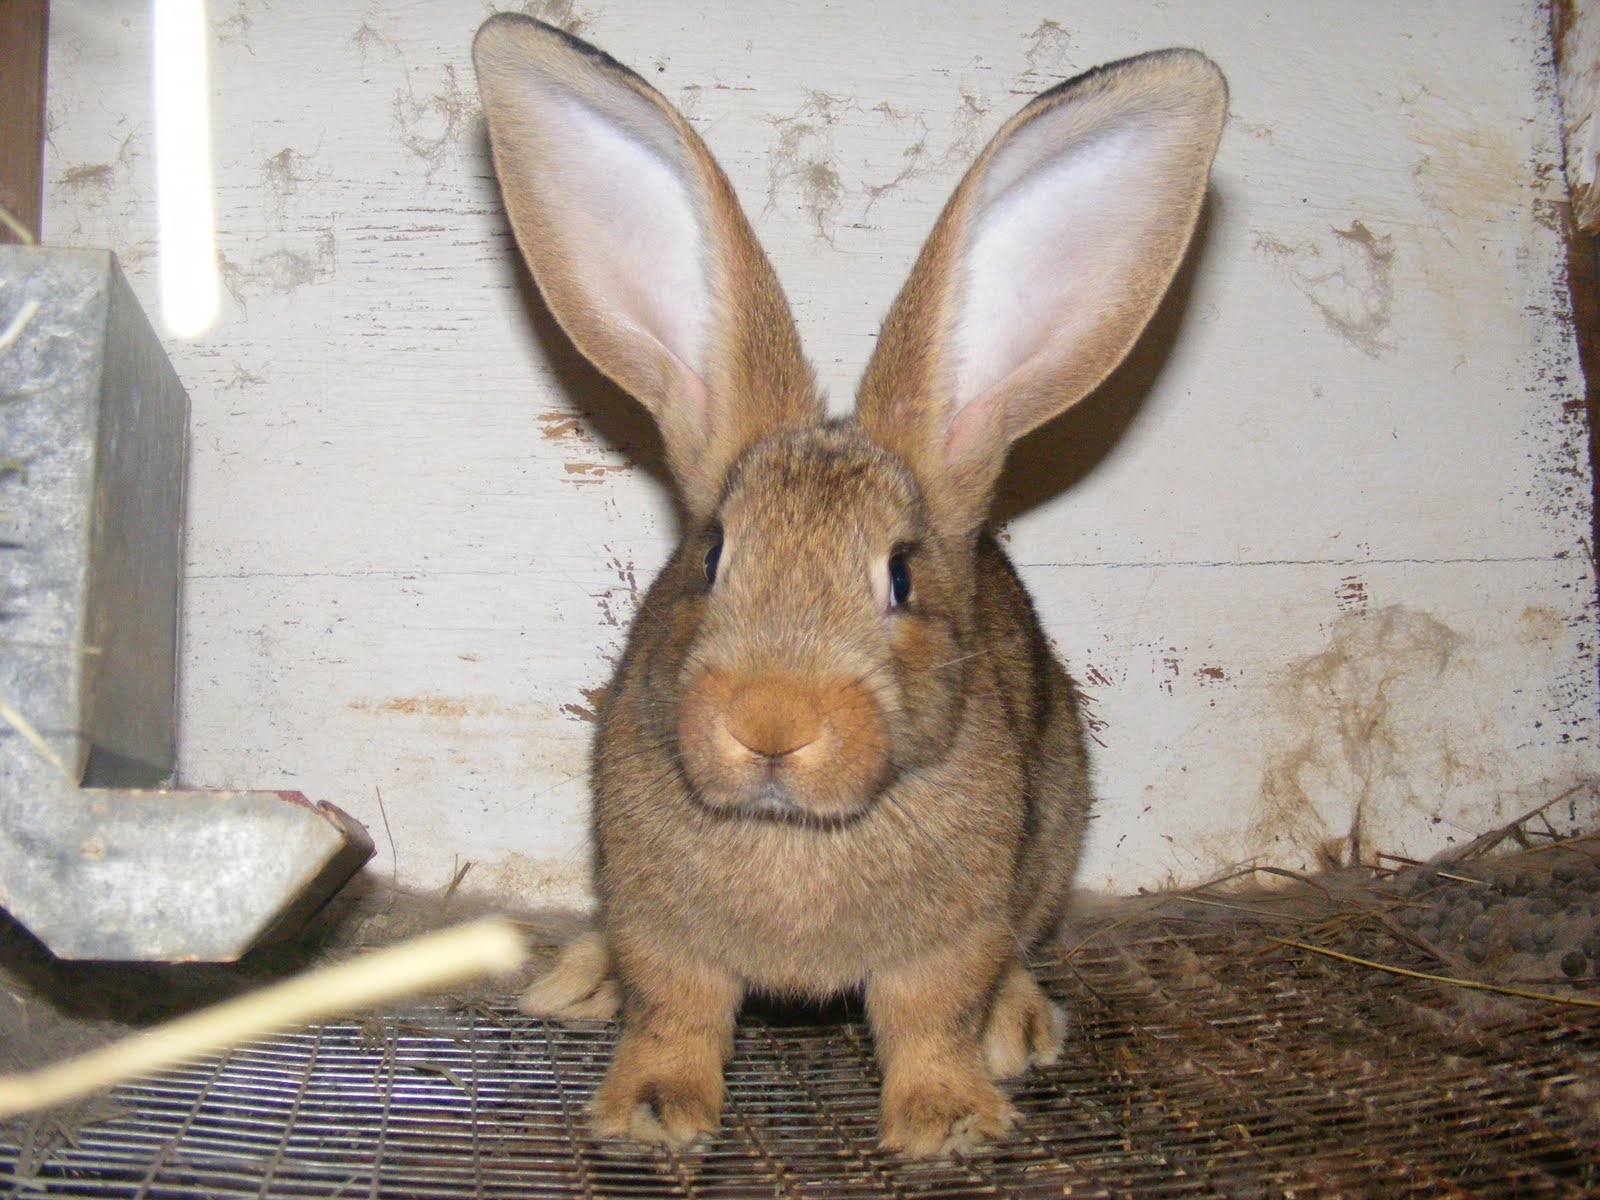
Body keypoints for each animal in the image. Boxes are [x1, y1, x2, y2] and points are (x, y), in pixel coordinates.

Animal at [473, 14, 1222, 1164]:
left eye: (902, 575)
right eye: (712, 554)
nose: (771, 723)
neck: (794, 833)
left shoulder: (950, 937)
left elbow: (928, 1016)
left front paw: (949, 1124)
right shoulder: (658, 924)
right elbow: (676, 1009)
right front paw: (648, 1113)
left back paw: (1018, 1025)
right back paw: (578, 982)